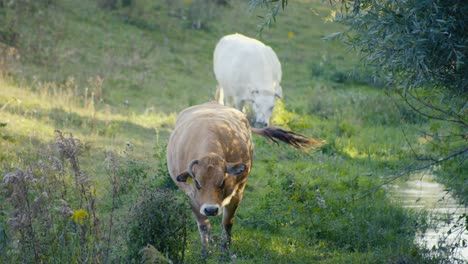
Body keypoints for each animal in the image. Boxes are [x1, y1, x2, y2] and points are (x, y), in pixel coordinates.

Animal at [166, 101, 324, 252]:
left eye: (222, 182)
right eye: (197, 183)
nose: (211, 210)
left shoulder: (237, 192)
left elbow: (227, 222)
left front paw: (225, 251)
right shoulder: (191, 197)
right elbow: (204, 226)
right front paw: (206, 252)